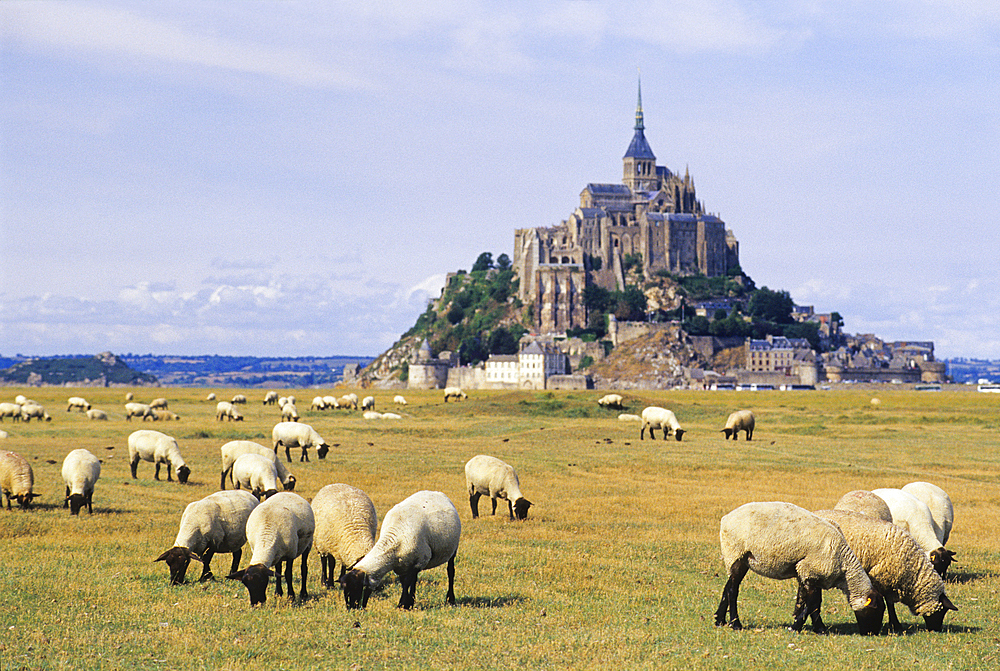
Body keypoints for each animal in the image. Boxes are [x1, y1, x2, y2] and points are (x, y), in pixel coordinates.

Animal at [712, 502, 884, 636]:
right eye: (877, 610)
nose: (872, 633)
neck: (843, 566)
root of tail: (726, 518)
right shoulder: (810, 571)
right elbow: (812, 603)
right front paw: (799, 627)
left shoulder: (808, 573)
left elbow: (809, 602)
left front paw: (815, 627)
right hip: (736, 554)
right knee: (732, 590)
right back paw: (735, 624)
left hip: (739, 558)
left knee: (727, 587)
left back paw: (719, 620)